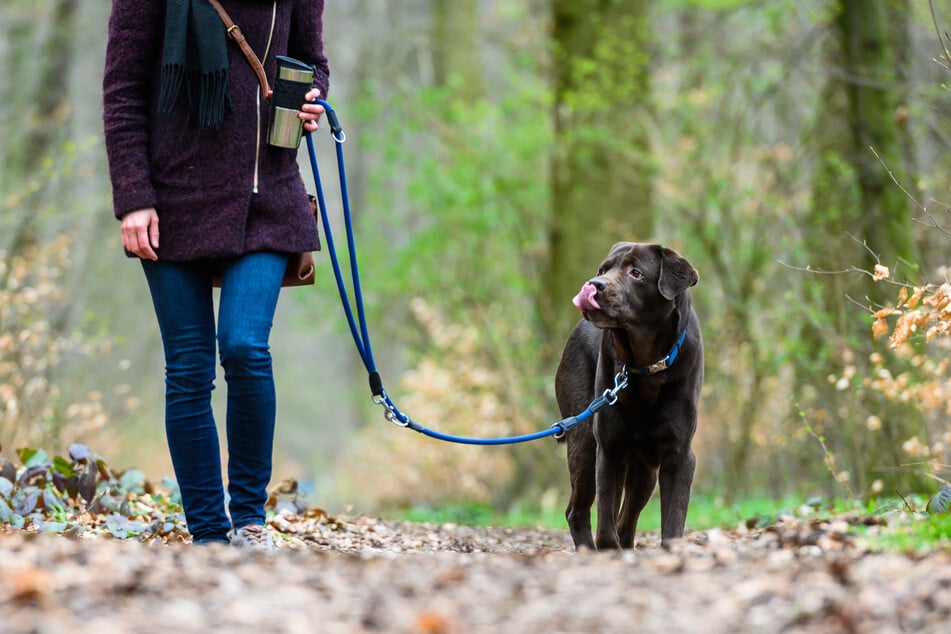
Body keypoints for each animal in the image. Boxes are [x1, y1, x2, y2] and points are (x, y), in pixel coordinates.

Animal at [556, 242, 704, 548]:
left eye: (636, 273)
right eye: (603, 269)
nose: (594, 284)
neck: (647, 367)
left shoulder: (679, 453)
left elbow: (673, 521)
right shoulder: (609, 448)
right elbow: (605, 525)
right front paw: (607, 548)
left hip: (645, 470)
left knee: (626, 519)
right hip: (585, 444)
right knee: (578, 511)